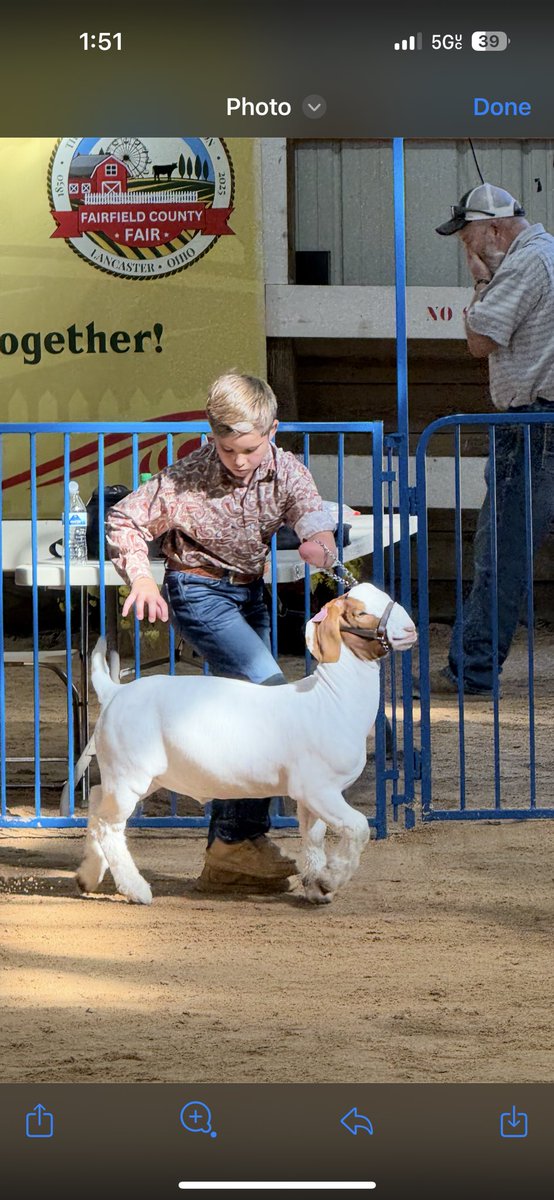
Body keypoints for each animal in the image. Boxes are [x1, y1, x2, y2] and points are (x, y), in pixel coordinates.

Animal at [76, 584, 417, 905]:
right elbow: (358, 827)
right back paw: (136, 889)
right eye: (361, 613)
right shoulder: (317, 788)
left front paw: (316, 886)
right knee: (108, 825)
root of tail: (114, 692)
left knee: (97, 800)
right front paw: (331, 878)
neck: (331, 697)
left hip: (141, 775)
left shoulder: (312, 797)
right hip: (129, 773)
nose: (410, 629)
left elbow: (313, 836)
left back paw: (88, 875)